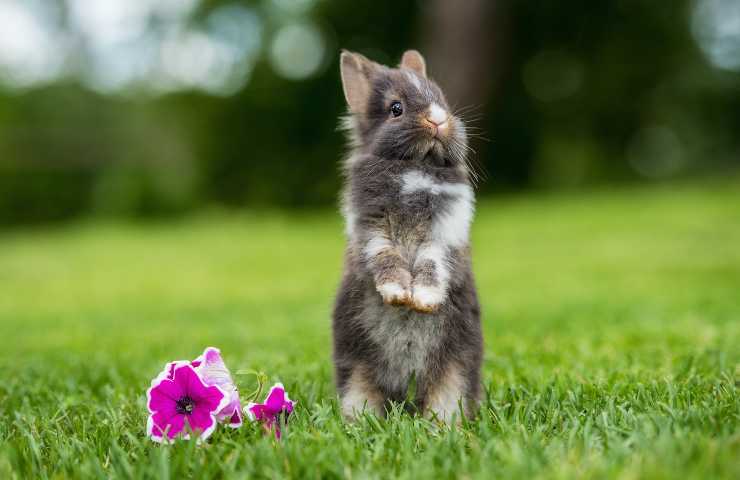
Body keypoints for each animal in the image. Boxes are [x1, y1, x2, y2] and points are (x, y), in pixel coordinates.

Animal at [332, 49, 483, 422]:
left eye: (442, 99)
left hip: (455, 369)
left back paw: (441, 427)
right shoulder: (372, 231)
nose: (438, 120)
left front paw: (423, 300)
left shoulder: (443, 236)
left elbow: (431, 265)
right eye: (395, 108)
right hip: (357, 370)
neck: (416, 167)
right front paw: (399, 295)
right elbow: (386, 258)